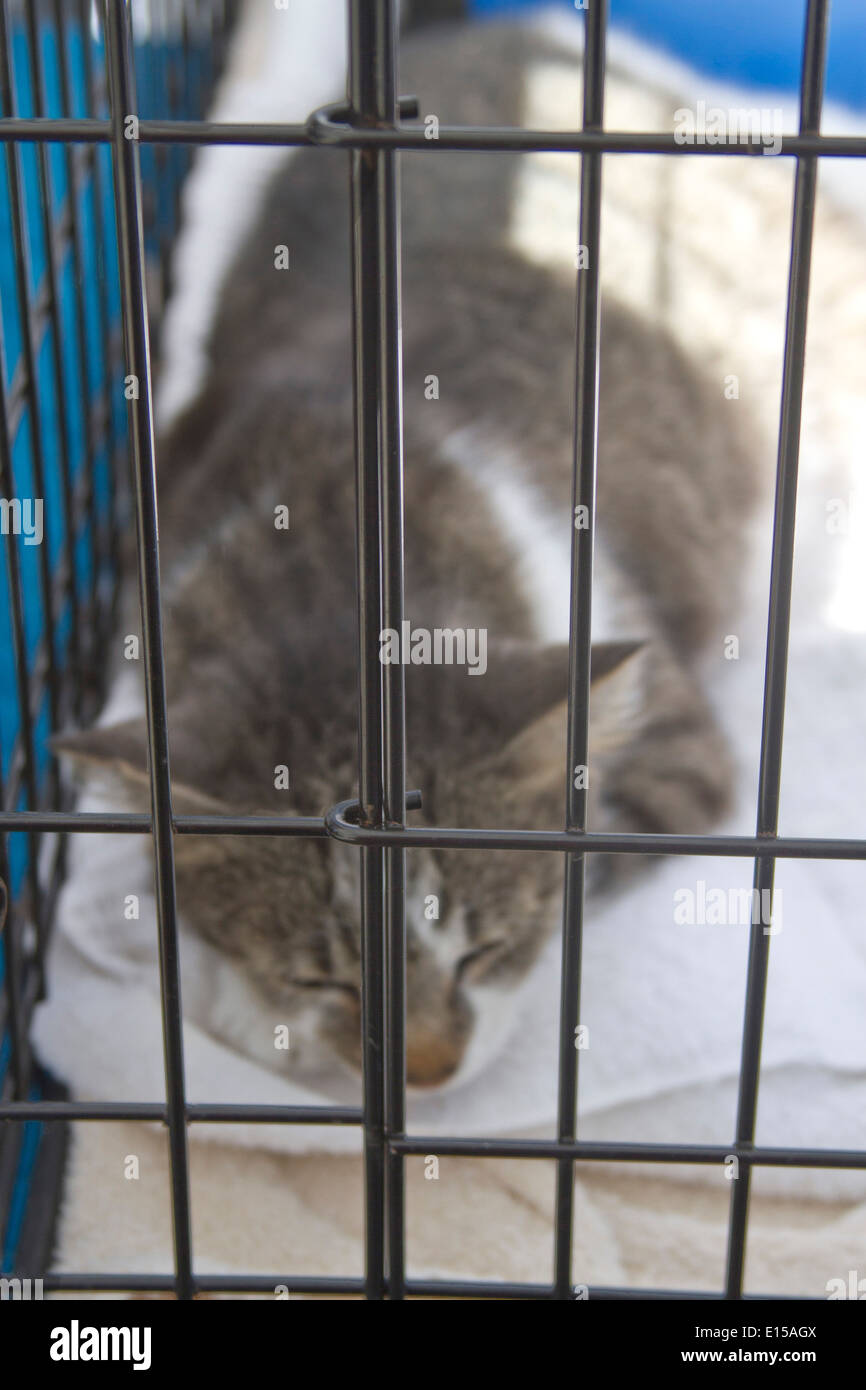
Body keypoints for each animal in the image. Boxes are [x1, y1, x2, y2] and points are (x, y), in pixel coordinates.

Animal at [55, 16, 767, 1089]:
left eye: (485, 950)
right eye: (323, 979)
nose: (429, 1071)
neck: (340, 552)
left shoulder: (669, 735)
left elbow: (594, 851)